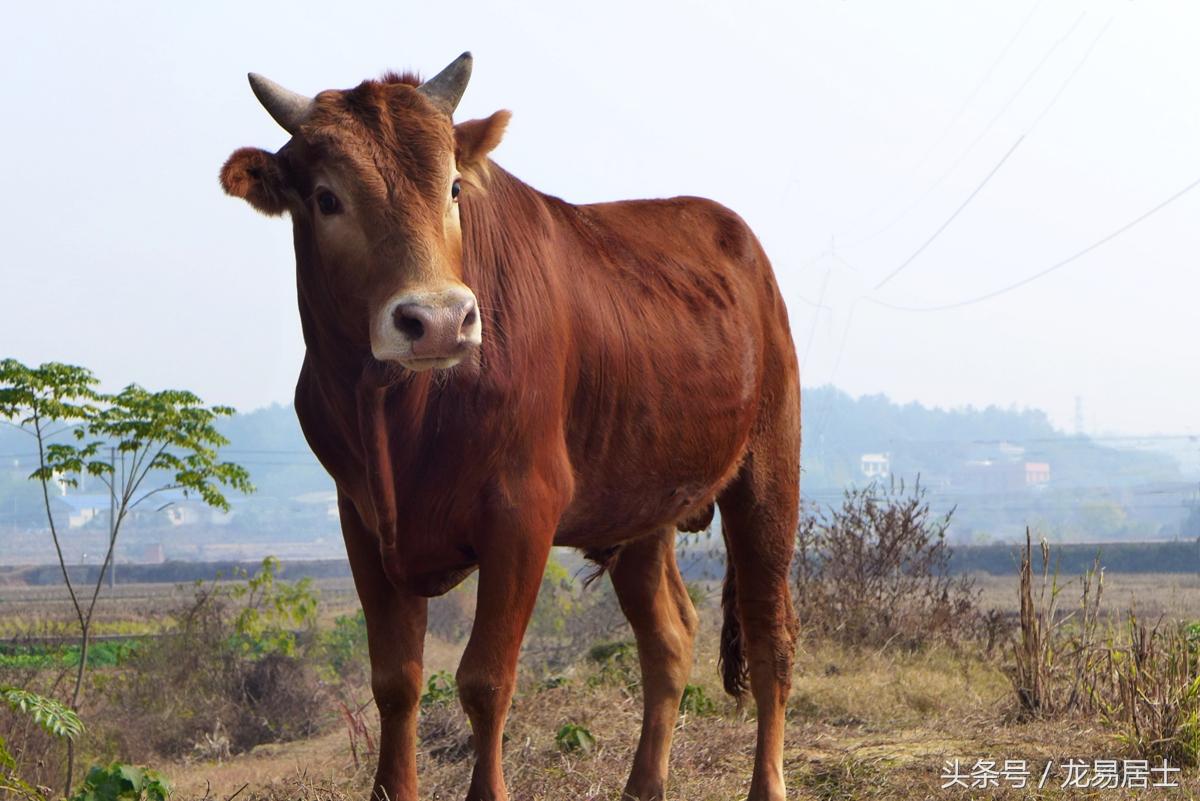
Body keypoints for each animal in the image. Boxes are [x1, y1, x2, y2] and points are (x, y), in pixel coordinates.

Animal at [220, 53, 801, 796]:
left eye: (453, 187)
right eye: (326, 198)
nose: (438, 320)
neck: (401, 411)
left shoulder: (523, 512)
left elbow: (485, 679)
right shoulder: (363, 519)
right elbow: (395, 681)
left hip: (767, 474)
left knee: (769, 637)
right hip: (641, 509)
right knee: (668, 638)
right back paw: (644, 784)